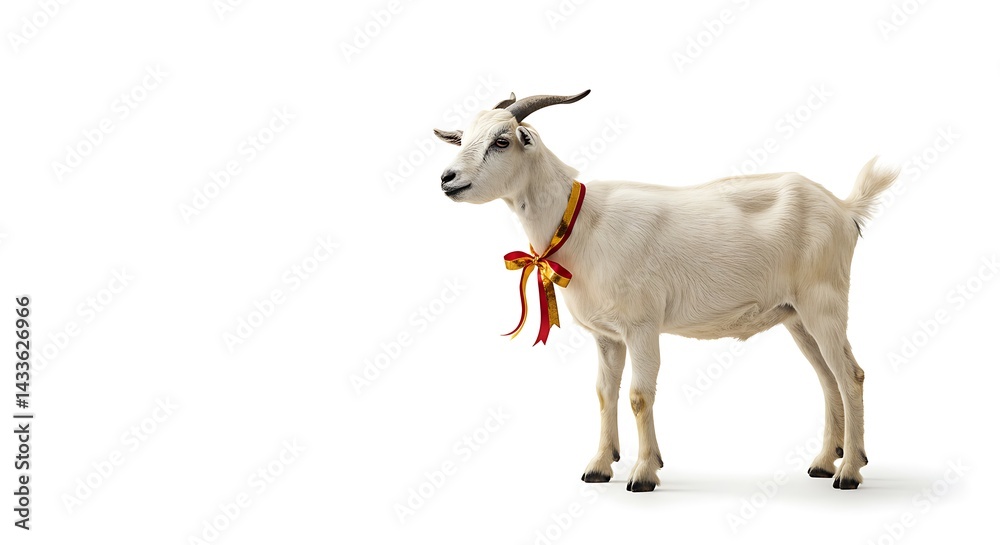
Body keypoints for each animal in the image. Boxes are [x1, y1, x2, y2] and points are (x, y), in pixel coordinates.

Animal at [434, 91, 897, 492]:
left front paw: (643, 473)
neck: (582, 222)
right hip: (796, 314)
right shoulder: (607, 335)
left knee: (850, 375)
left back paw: (850, 472)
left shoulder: (642, 324)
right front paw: (599, 466)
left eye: (502, 140)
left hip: (824, 302)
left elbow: (639, 396)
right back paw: (825, 462)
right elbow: (604, 393)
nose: (447, 179)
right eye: (464, 137)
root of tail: (845, 209)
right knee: (827, 378)